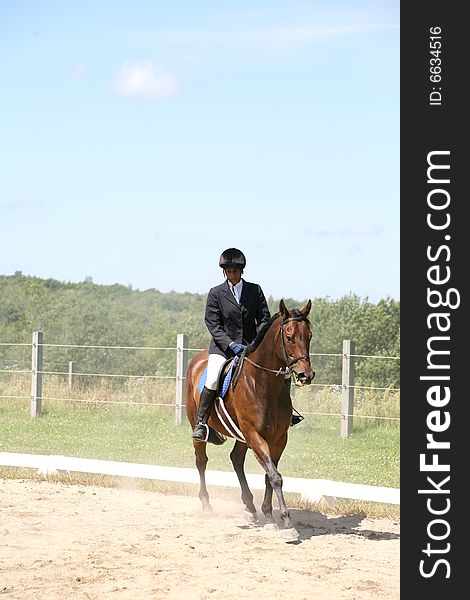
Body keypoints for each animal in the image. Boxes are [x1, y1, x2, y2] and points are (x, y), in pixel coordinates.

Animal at [185, 298, 314, 540]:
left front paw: (269, 516)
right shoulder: (255, 434)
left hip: (242, 436)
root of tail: (198, 359)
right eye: (289, 337)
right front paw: (287, 523)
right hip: (202, 427)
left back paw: (250, 508)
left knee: (236, 459)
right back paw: (206, 504)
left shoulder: (278, 438)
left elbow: (269, 475)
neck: (263, 383)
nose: (306, 375)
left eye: (309, 336)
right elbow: (275, 476)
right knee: (201, 461)